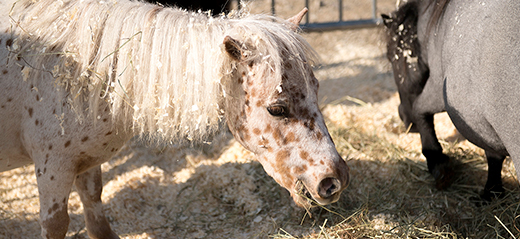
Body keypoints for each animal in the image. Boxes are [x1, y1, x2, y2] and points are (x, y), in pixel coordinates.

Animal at [0, 0, 350, 238]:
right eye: (277, 109)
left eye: (316, 89)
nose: (334, 180)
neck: (83, 72)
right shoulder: (54, 168)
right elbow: (56, 223)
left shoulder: (84, 161)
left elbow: (96, 214)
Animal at [382, 0, 520, 199]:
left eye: (392, 57)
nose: (404, 119)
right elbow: (493, 155)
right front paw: (491, 192)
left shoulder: (437, 90)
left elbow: (419, 110)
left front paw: (437, 162)